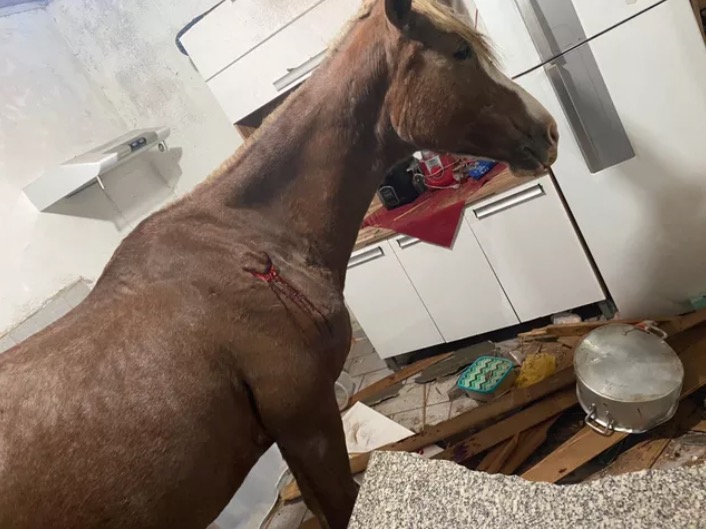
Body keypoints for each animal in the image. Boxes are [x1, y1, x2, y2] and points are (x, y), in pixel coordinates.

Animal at [0, 0, 557, 528]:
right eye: (461, 52)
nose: (549, 131)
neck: (248, 245)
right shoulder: (309, 419)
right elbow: (341, 507)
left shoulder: (294, 432)